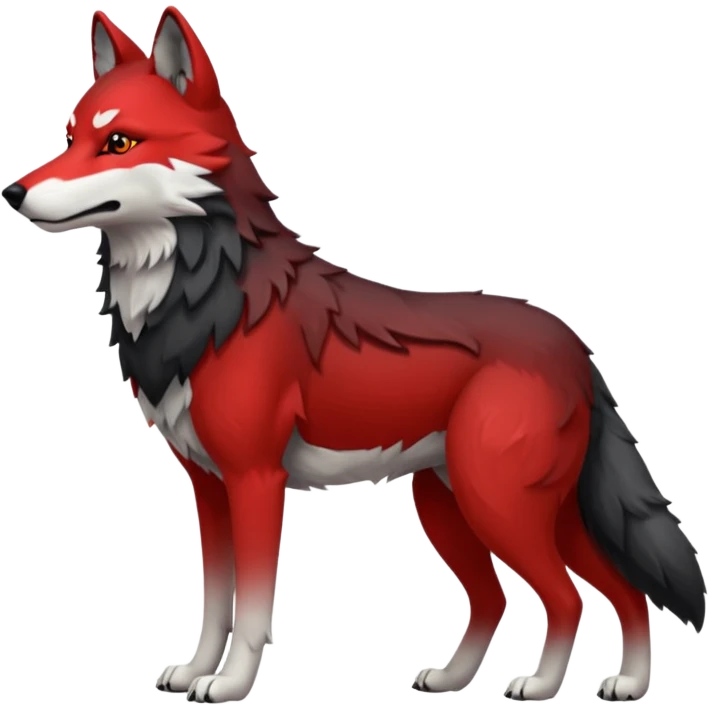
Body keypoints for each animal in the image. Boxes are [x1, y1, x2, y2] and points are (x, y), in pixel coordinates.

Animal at [2, 7, 705, 704]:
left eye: (119, 143)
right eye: (70, 135)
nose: (13, 192)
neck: (204, 305)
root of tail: (574, 345)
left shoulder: (257, 480)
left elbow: (252, 608)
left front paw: (229, 684)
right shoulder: (209, 487)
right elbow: (216, 602)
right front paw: (196, 670)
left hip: (502, 508)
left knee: (568, 598)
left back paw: (543, 685)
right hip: (466, 509)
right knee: (552, 595)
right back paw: (529, 680)